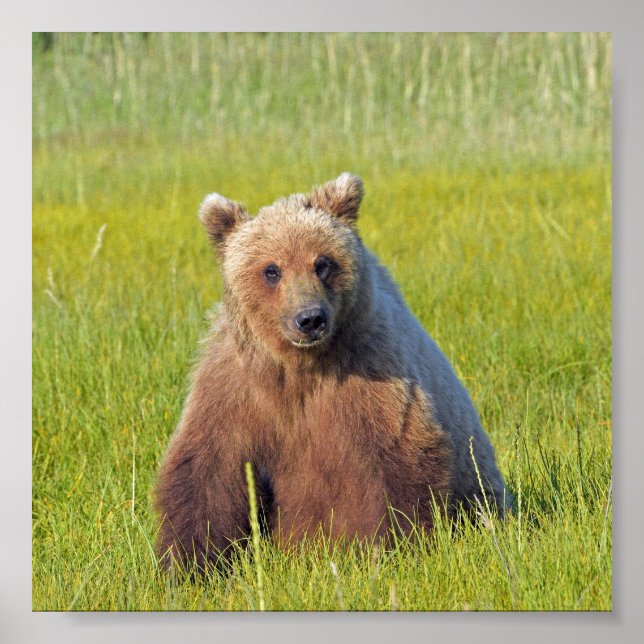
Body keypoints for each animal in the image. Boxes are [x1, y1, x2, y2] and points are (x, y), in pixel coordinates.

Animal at [155, 173, 510, 570]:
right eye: (271, 269)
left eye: (322, 262)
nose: (310, 318)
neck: (300, 366)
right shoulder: (235, 385)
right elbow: (206, 472)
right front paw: (186, 565)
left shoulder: (371, 375)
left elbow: (396, 464)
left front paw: (385, 551)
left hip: (478, 482)